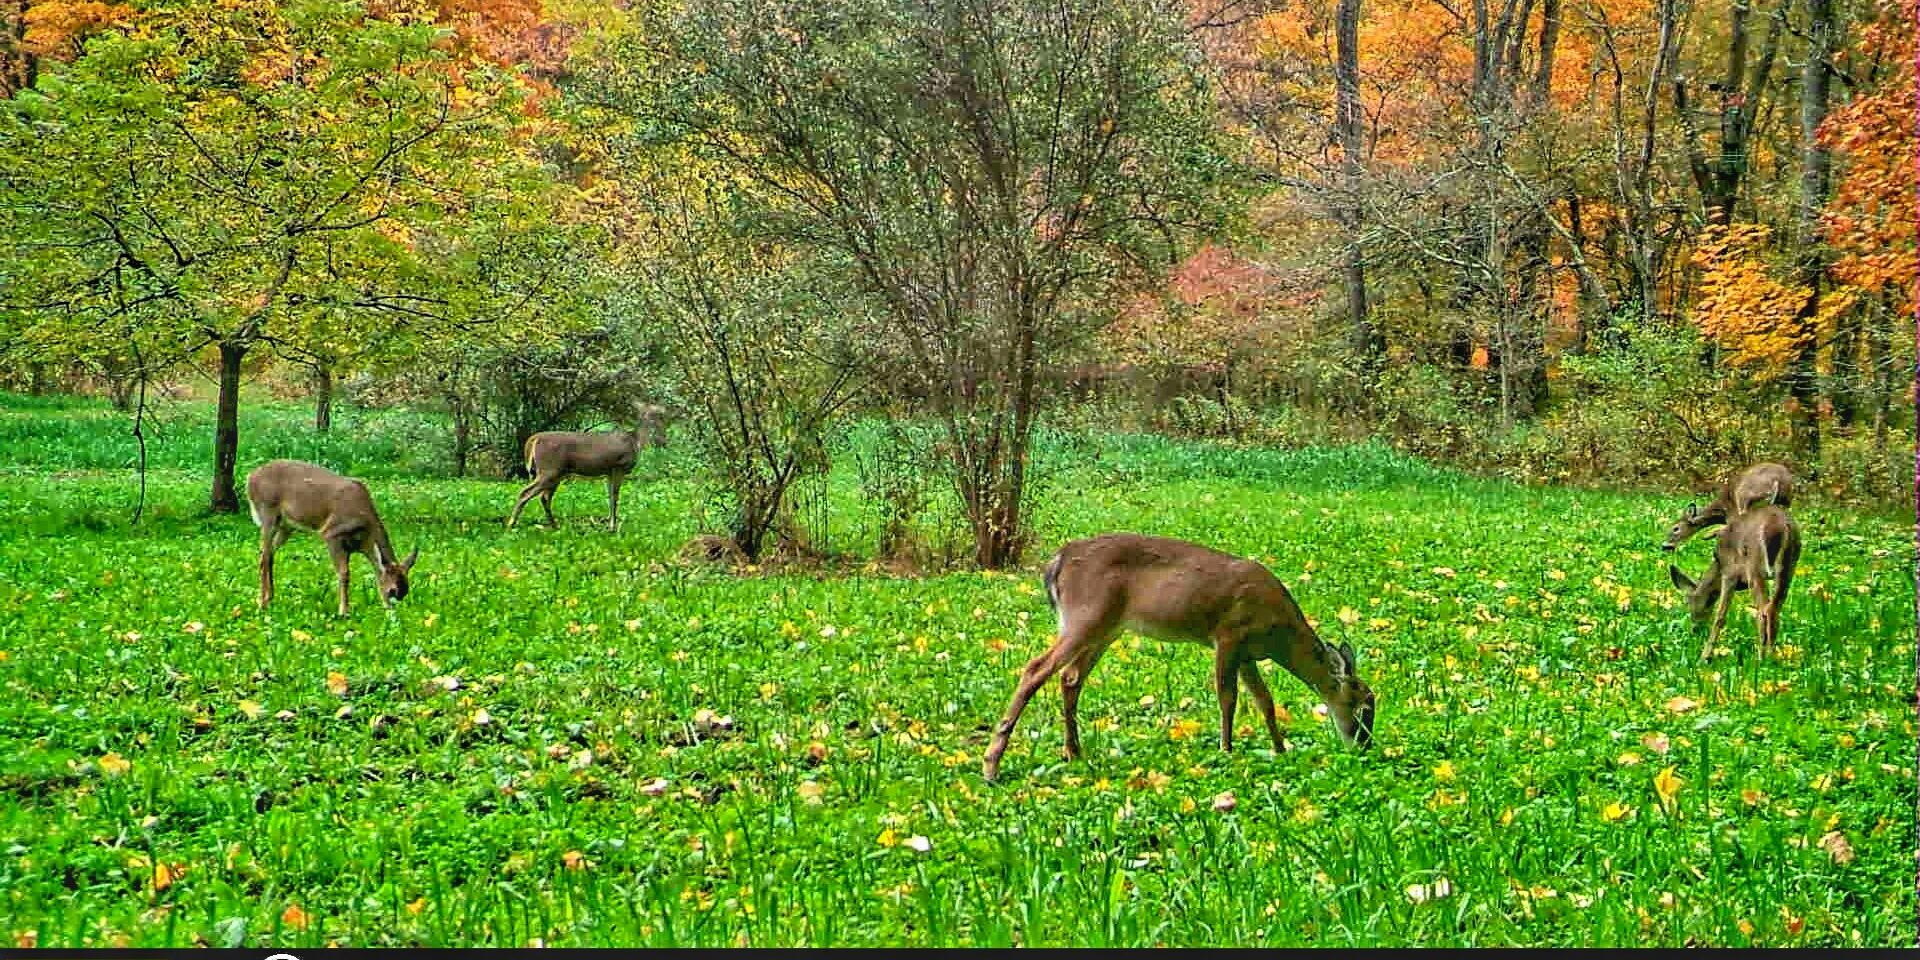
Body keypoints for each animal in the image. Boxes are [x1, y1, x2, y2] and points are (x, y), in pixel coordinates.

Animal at [246, 459, 419, 617]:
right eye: (392, 590)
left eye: (405, 591)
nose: (393, 615)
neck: (365, 534)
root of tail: (250, 478)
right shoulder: (331, 534)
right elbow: (344, 573)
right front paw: (343, 612)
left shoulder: (352, 547)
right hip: (267, 513)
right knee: (263, 555)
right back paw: (262, 603)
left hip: (286, 526)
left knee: (269, 554)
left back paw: (270, 598)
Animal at [507, 409, 665, 532]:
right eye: (658, 415)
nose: (663, 436)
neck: (635, 441)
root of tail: (534, 439)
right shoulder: (618, 466)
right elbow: (615, 496)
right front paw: (613, 527)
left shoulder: (608, 471)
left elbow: (610, 496)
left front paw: (609, 524)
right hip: (549, 469)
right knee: (525, 493)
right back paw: (511, 524)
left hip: (555, 473)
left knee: (544, 497)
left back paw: (554, 525)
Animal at [982, 533, 1376, 782]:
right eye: (1362, 706)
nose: (1365, 746)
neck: (1277, 632)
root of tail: (1057, 561)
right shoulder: (1227, 635)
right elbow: (1228, 698)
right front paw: (1226, 750)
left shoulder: (1247, 653)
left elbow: (1264, 700)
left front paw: (1280, 750)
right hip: (1086, 616)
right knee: (1035, 668)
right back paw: (991, 766)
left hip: (1107, 628)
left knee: (1070, 677)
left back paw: (1074, 753)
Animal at [1662, 462, 1794, 553]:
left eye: (1675, 528)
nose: (1664, 546)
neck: (1721, 512)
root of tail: (1778, 480)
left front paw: (1707, 535)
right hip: (1785, 503)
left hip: (1745, 497)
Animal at [1667, 504, 1800, 661]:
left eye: (1686, 602)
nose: (1695, 629)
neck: (1718, 565)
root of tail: (1783, 528)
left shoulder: (1730, 574)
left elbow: (1720, 616)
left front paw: (1704, 657)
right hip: (1788, 569)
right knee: (1774, 609)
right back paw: (1771, 657)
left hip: (1755, 567)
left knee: (1763, 612)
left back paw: (1761, 659)